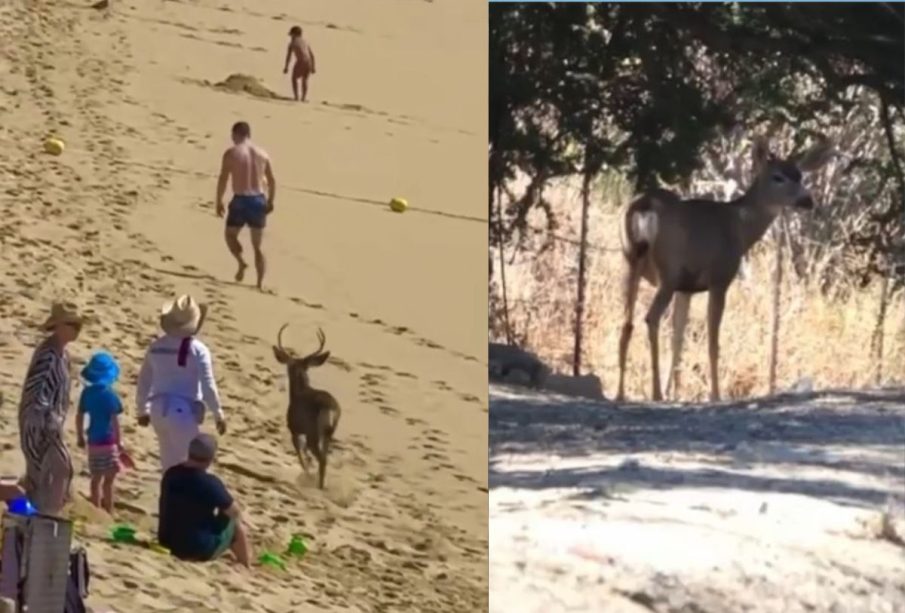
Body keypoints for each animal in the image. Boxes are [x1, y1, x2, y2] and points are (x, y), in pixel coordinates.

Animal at [272, 326, 342, 488]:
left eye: (289, 366)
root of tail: (329, 407)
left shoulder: (294, 428)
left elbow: (300, 452)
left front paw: (306, 472)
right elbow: (305, 453)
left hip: (313, 432)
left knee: (321, 458)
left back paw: (318, 485)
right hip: (329, 432)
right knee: (324, 456)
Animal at [616, 134, 832, 402]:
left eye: (800, 176)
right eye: (777, 177)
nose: (807, 200)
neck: (740, 226)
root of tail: (643, 208)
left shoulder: (686, 288)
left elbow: (678, 339)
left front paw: (674, 391)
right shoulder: (719, 278)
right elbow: (712, 342)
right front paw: (715, 395)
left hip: (630, 260)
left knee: (626, 323)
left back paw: (620, 394)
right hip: (668, 270)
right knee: (651, 317)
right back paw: (655, 393)